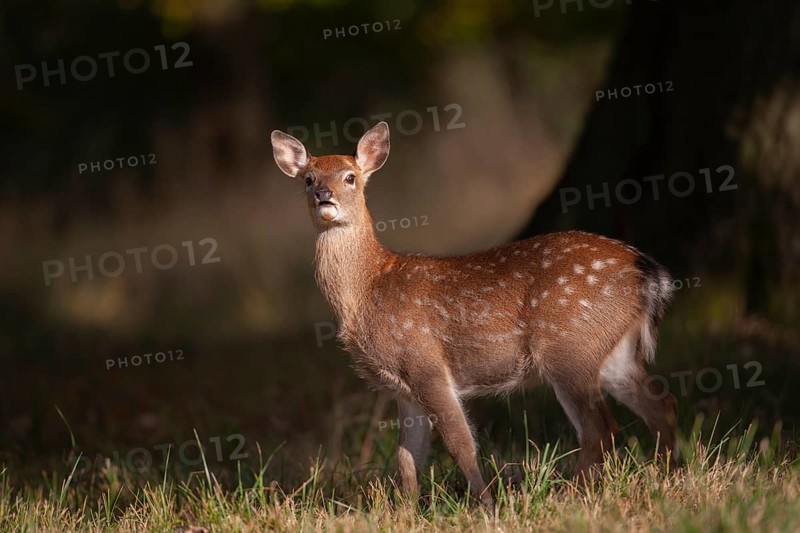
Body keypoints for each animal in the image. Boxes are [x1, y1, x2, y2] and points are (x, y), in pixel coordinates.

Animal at [270, 122, 678, 508]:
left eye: (350, 176)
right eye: (308, 178)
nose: (324, 195)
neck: (368, 288)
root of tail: (651, 275)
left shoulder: (426, 364)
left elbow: (460, 445)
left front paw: (487, 505)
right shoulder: (402, 387)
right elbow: (407, 456)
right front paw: (404, 511)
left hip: (569, 346)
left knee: (601, 428)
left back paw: (572, 494)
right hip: (613, 353)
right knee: (661, 405)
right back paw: (667, 475)